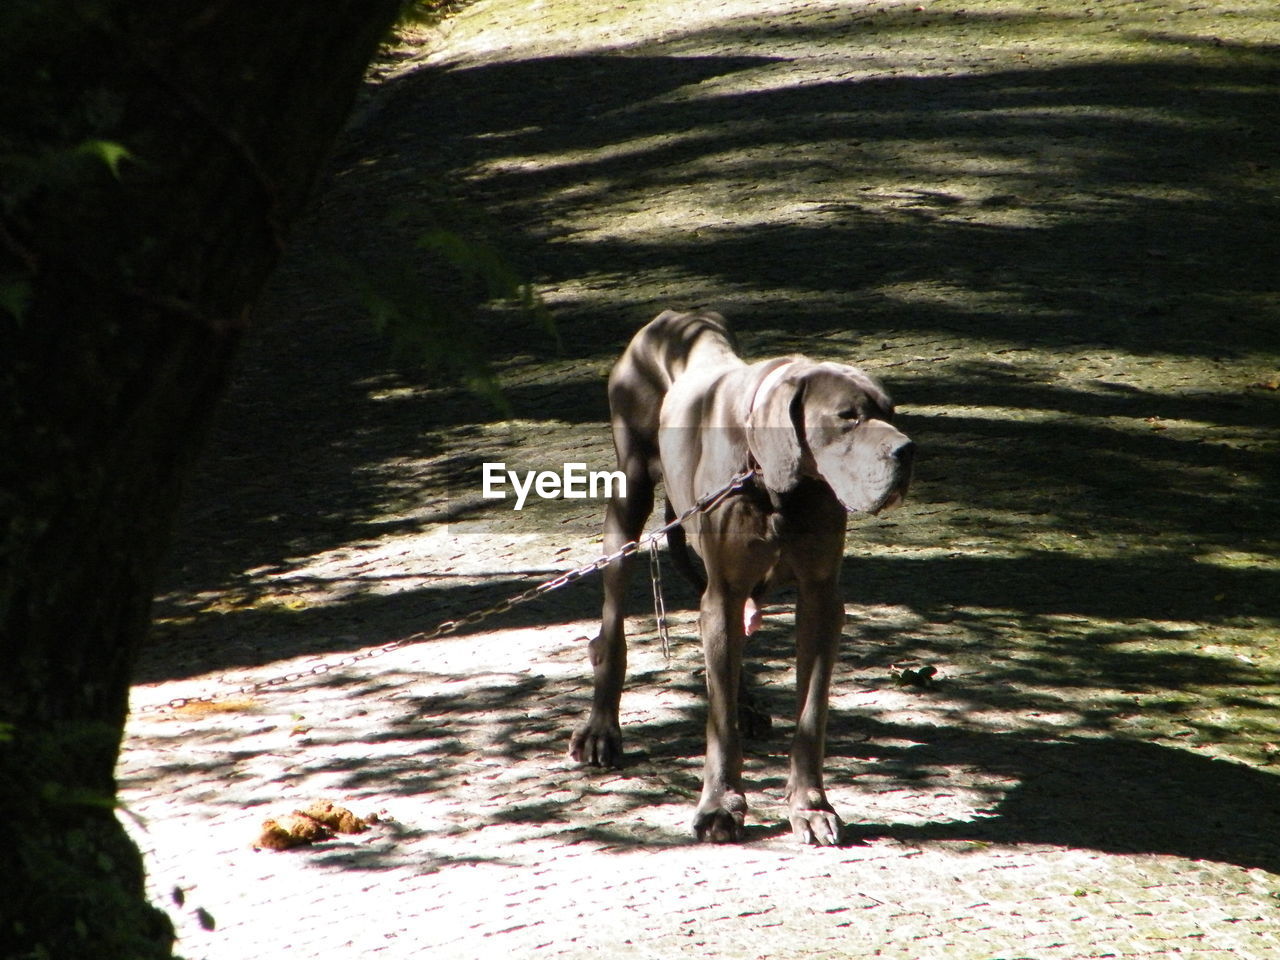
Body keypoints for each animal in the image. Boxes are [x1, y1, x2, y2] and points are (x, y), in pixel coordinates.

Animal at [568, 312, 911, 844]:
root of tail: (670, 318)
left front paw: (810, 805)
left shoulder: (820, 598)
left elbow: (811, 711)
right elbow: (719, 722)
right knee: (614, 625)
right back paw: (602, 727)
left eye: (892, 412)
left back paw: (746, 702)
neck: (773, 483)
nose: (907, 450)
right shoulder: (723, 592)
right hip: (629, 496)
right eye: (847, 416)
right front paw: (719, 806)